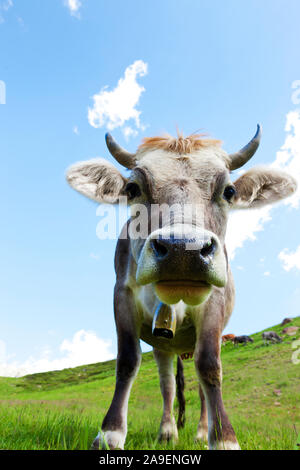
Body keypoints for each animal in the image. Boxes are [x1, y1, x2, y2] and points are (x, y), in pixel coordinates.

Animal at [66, 125, 296, 452]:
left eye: (229, 191)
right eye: (132, 189)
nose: (182, 250)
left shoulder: (214, 303)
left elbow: (210, 367)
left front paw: (223, 438)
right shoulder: (122, 296)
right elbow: (127, 361)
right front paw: (110, 434)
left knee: (199, 385)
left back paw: (200, 432)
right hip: (162, 344)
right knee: (167, 385)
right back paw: (167, 432)